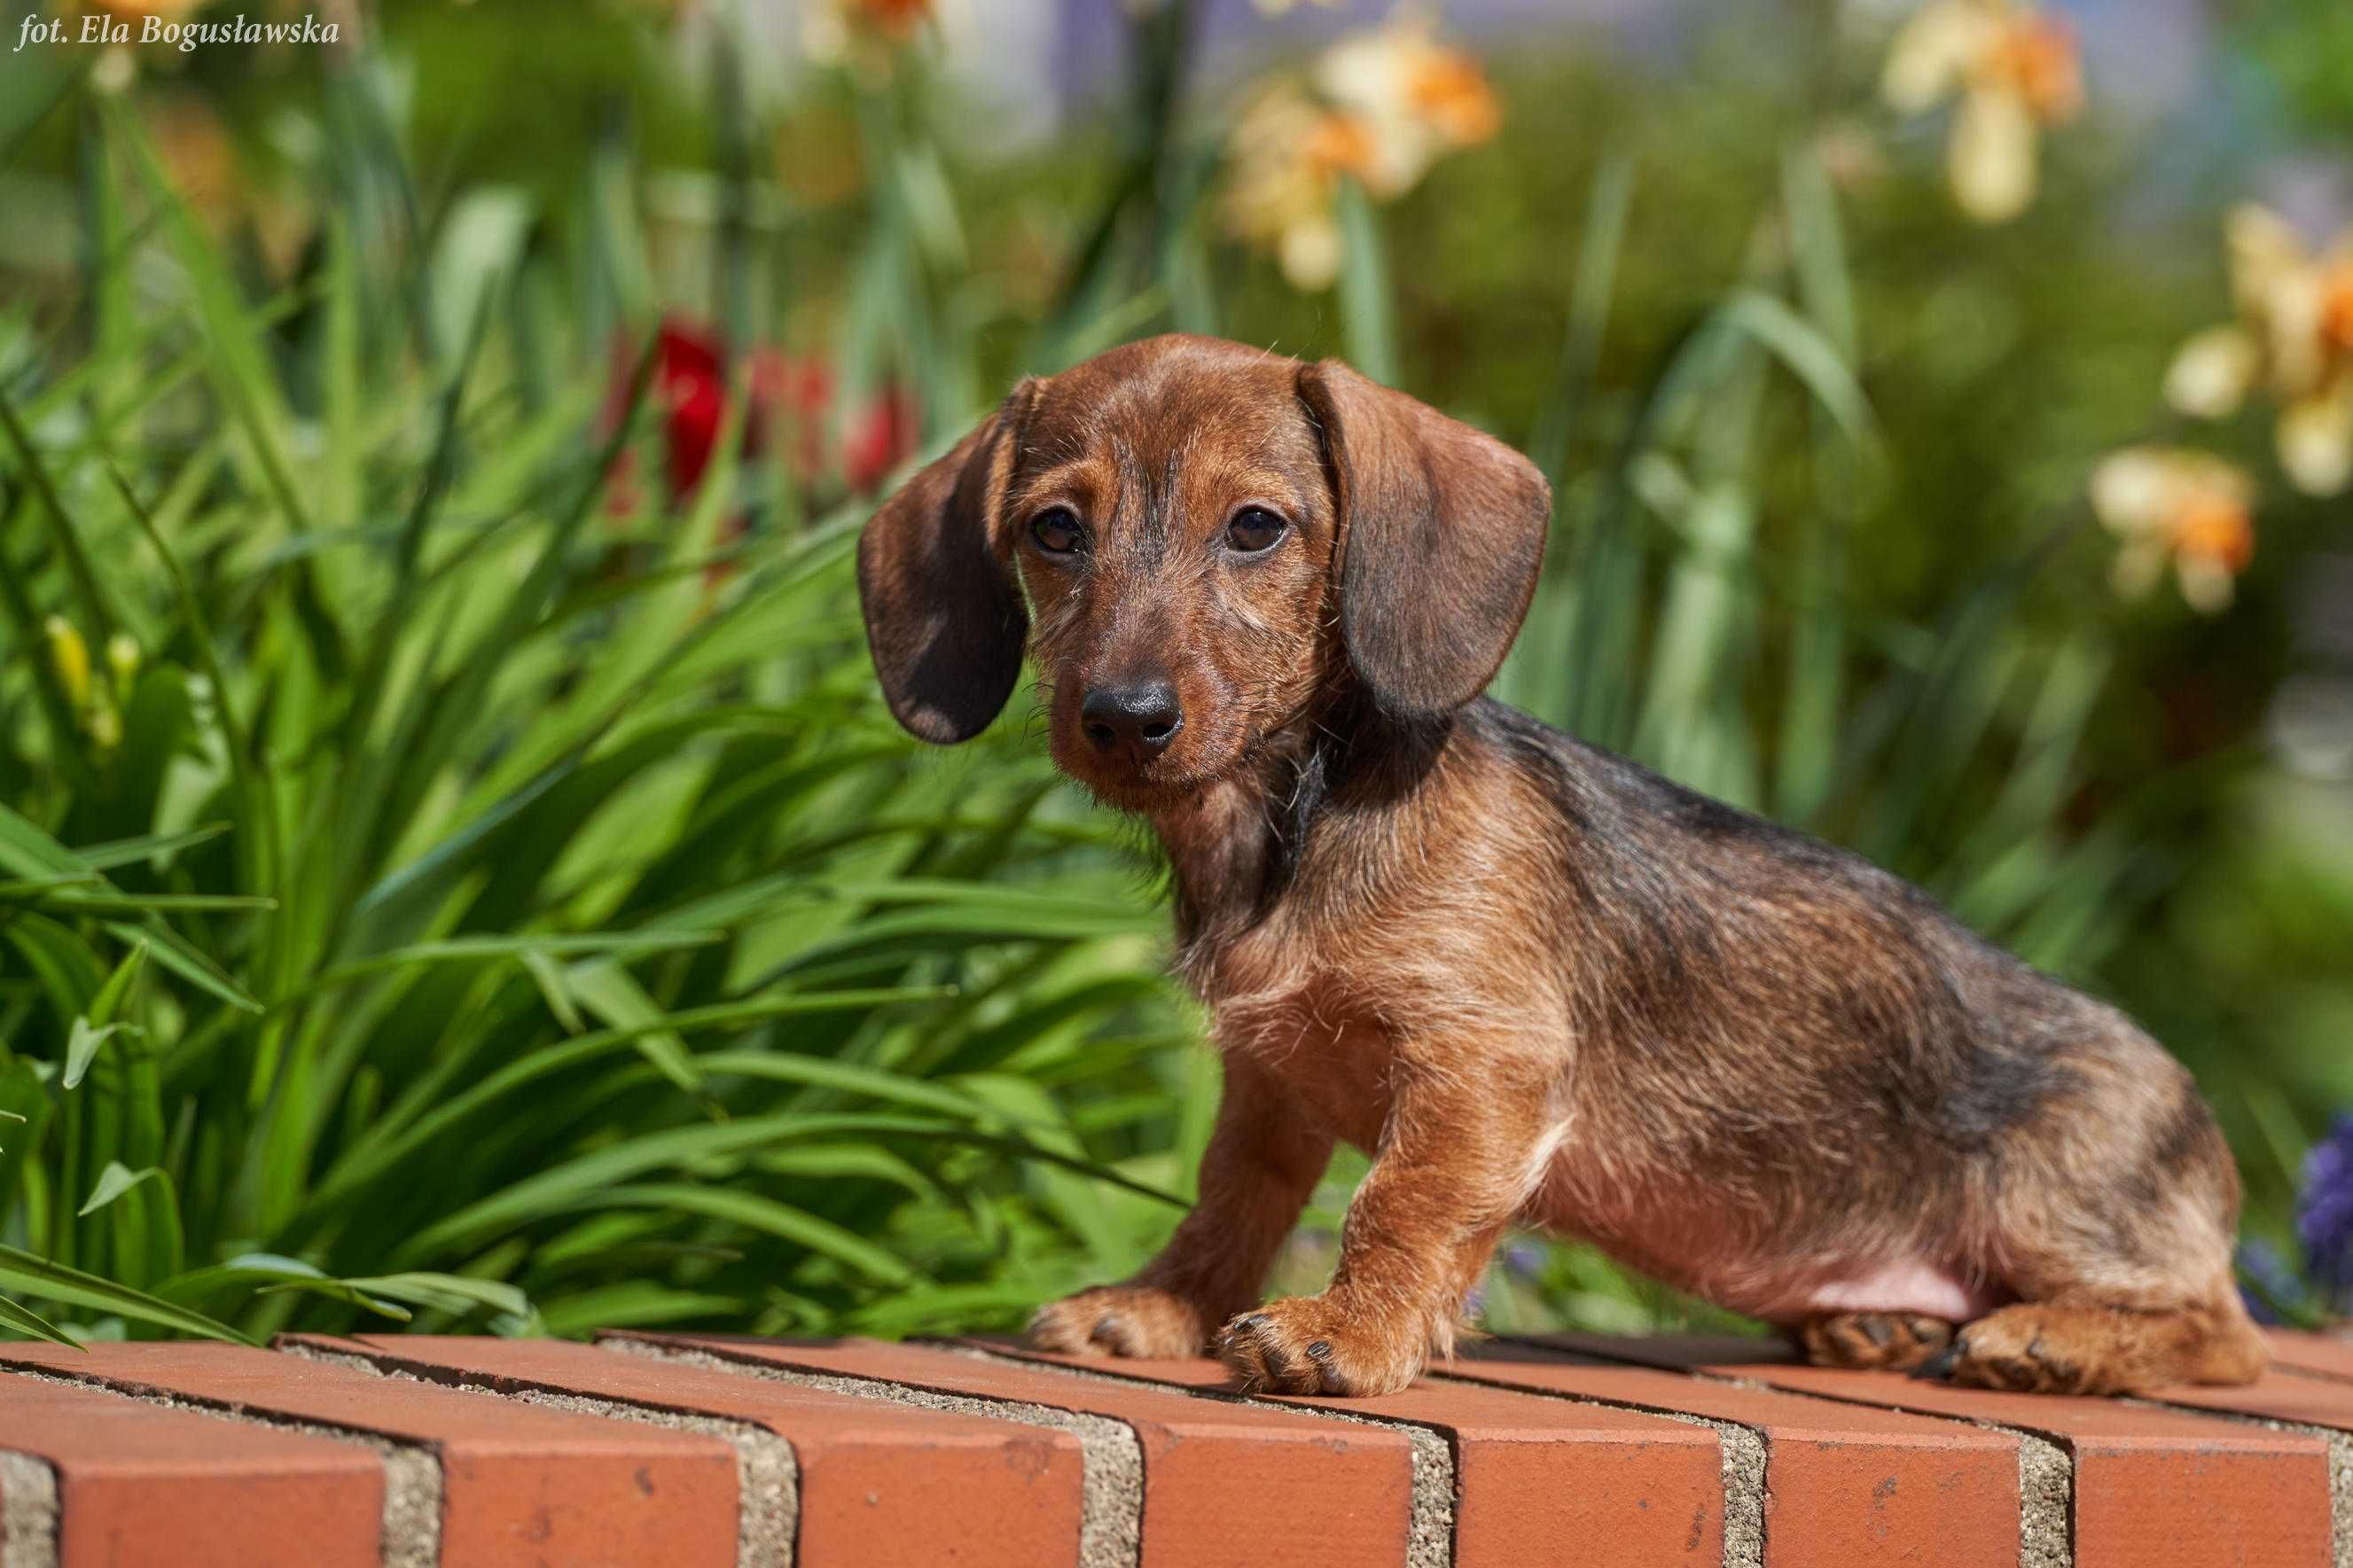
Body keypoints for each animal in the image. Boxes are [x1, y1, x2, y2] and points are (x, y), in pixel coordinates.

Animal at [856, 331, 2268, 1400]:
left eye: (1254, 526)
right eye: (1054, 529)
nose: (1124, 716)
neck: (1295, 821)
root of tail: (2198, 1114)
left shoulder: (1481, 1063)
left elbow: (1399, 1204)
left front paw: (1342, 1335)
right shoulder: (1268, 1078)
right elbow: (1229, 1201)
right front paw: (1162, 1304)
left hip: (2061, 1200)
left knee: (2220, 1330)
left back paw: (2047, 1339)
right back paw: (1879, 1320)